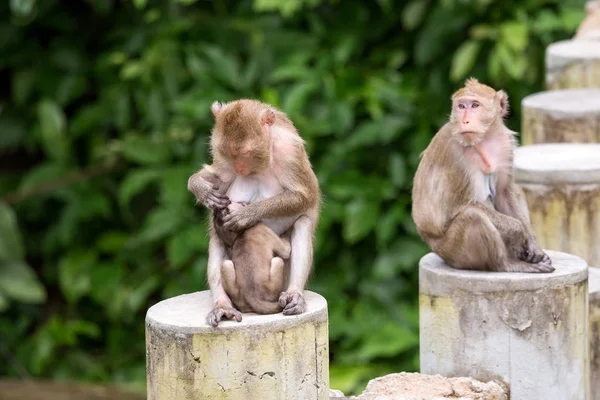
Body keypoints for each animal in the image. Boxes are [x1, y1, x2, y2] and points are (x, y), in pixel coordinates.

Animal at [188, 98, 322, 326]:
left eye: (244, 152)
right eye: (229, 154)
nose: (239, 169)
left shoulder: (290, 151)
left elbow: (305, 196)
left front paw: (247, 214)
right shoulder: (222, 160)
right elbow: (218, 178)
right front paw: (199, 187)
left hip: (281, 281)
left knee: (302, 223)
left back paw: (295, 294)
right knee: (217, 239)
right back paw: (222, 304)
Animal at [412, 77, 552, 274]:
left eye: (475, 105)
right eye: (461, 106)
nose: (465, 121)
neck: (483, 139)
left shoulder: (506, 144)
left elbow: (504, 193)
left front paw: (532, 242)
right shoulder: (453, 152)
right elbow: (460, 205)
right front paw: (518, 231)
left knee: (516, 193)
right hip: (452, 251)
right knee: (473, 217)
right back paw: (507, 264)